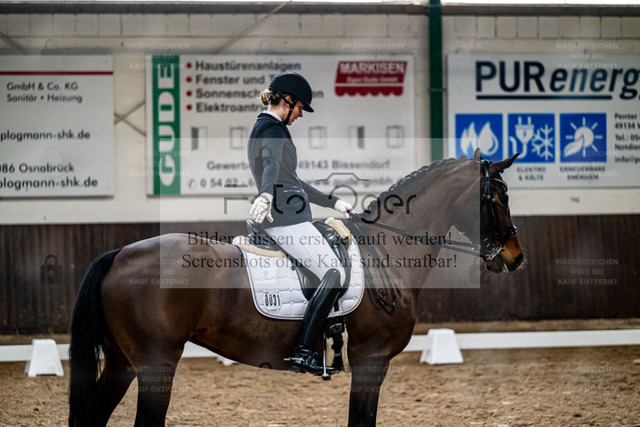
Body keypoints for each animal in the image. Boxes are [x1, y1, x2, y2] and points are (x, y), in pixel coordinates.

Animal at [69, 151, 524, 426]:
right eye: (500, 197)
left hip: (123, 362)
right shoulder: (372, 360)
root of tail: (120, 253)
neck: (387, 251)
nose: (515, 258)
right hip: (156, 363)